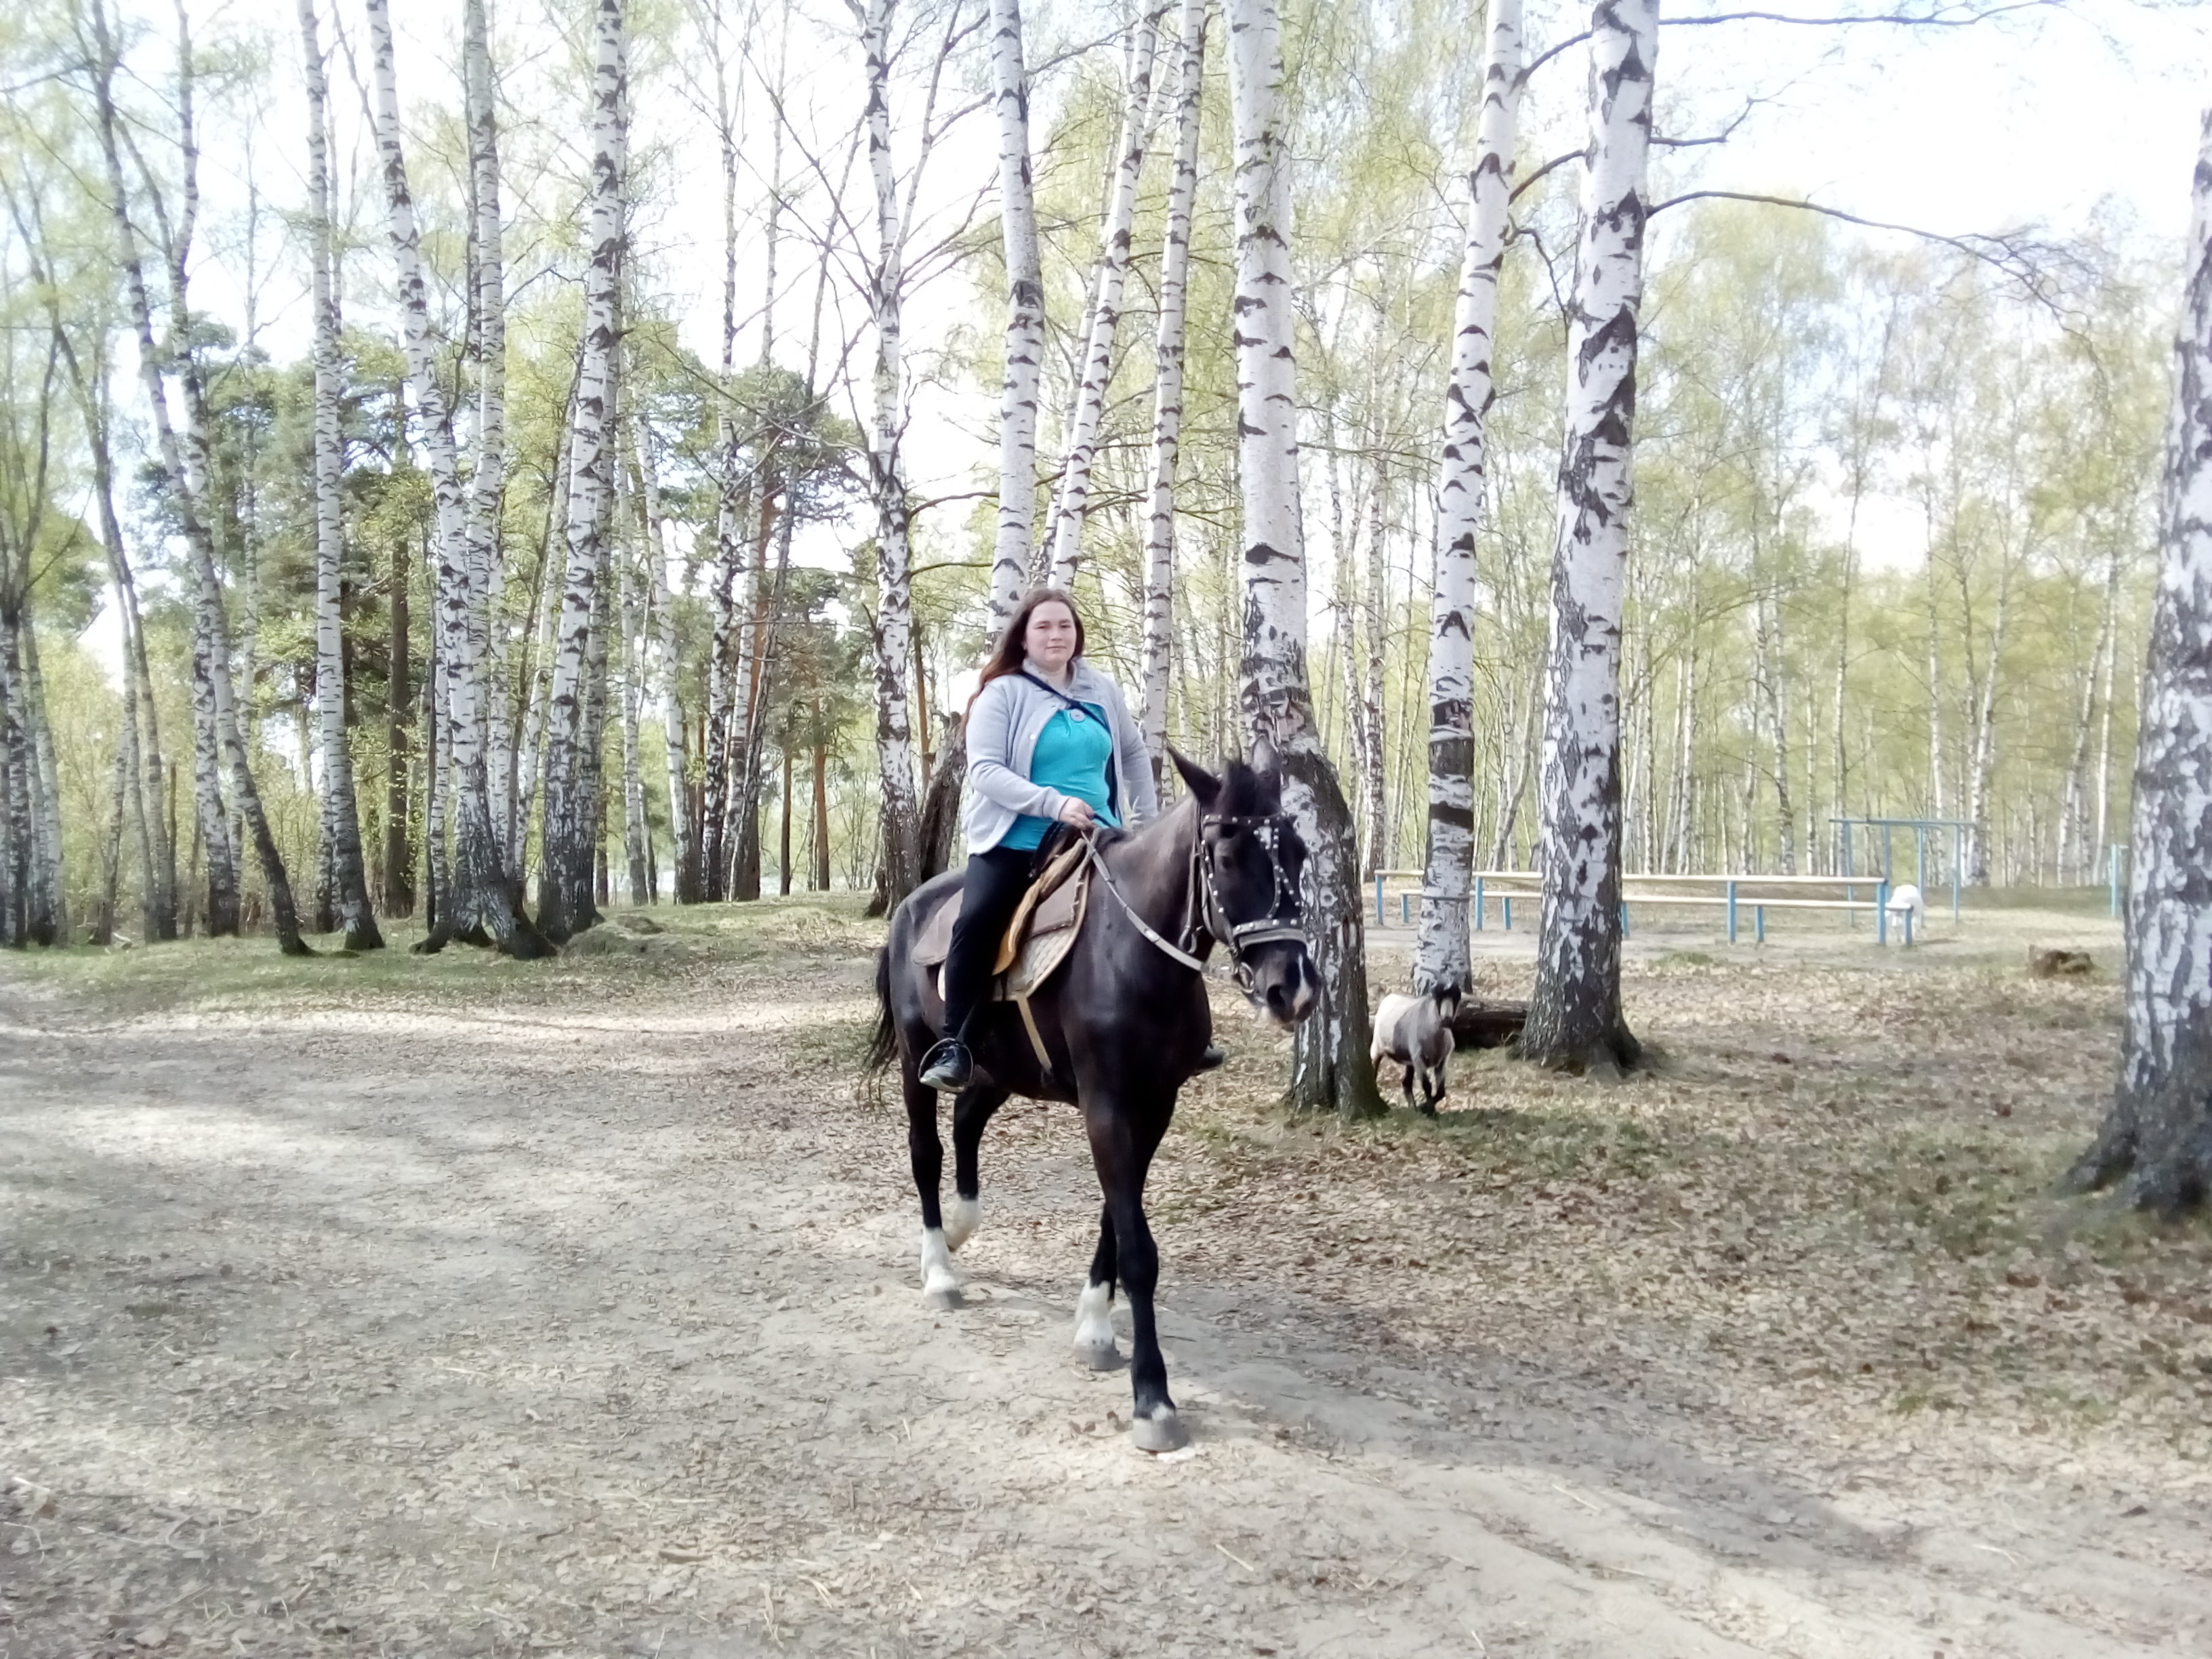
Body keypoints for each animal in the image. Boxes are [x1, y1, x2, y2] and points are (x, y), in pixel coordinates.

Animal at [866, 749, 1320, 1452]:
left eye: (1297, 852)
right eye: (1224, 857)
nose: (1291, 989)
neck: (1131, 956)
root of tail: (912, 905)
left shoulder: (1152, 1106)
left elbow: (1117, 1217)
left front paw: (1096, 1330)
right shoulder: (1106, 1104)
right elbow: (1138, 1248)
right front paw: (1152, 1399)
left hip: (999, 1069)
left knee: (967, 1124)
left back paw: (965, 1229)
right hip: (922, 1061)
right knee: (927, 1151)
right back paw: (940, 1269)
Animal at [1370, 985, 1463, 1116]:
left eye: (1456, 997)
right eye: (1437, 997)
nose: (1447, 1020)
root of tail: (1386, 998)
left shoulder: (1443, 1060)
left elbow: (1441, 1091)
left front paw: (1424, 1108)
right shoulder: (1419, 1059)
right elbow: (1427, 1086)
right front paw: (1429, 1111)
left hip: (1410, 1059)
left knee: (1406, 1083)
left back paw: (1413, 1107)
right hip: (1377, 1048)